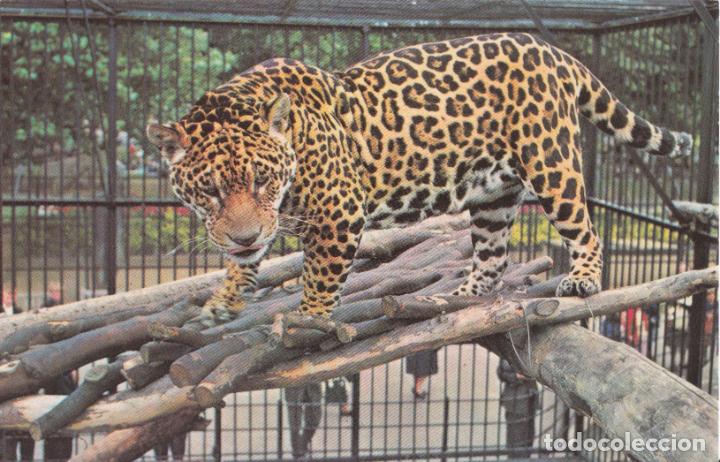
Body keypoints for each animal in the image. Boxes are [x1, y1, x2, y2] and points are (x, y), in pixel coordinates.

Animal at [147, 32, 692, 324]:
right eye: (210, 191)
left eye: (262, 180)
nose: (245, 236)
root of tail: (548, 48)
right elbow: (244, 264)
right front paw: (224, 299)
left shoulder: (339, 212)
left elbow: (320, 273)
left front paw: (310, 318)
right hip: (494, 195)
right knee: (493, 256)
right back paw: (461, 296)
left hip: (550, 162)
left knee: (585, 230)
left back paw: (582, 279)